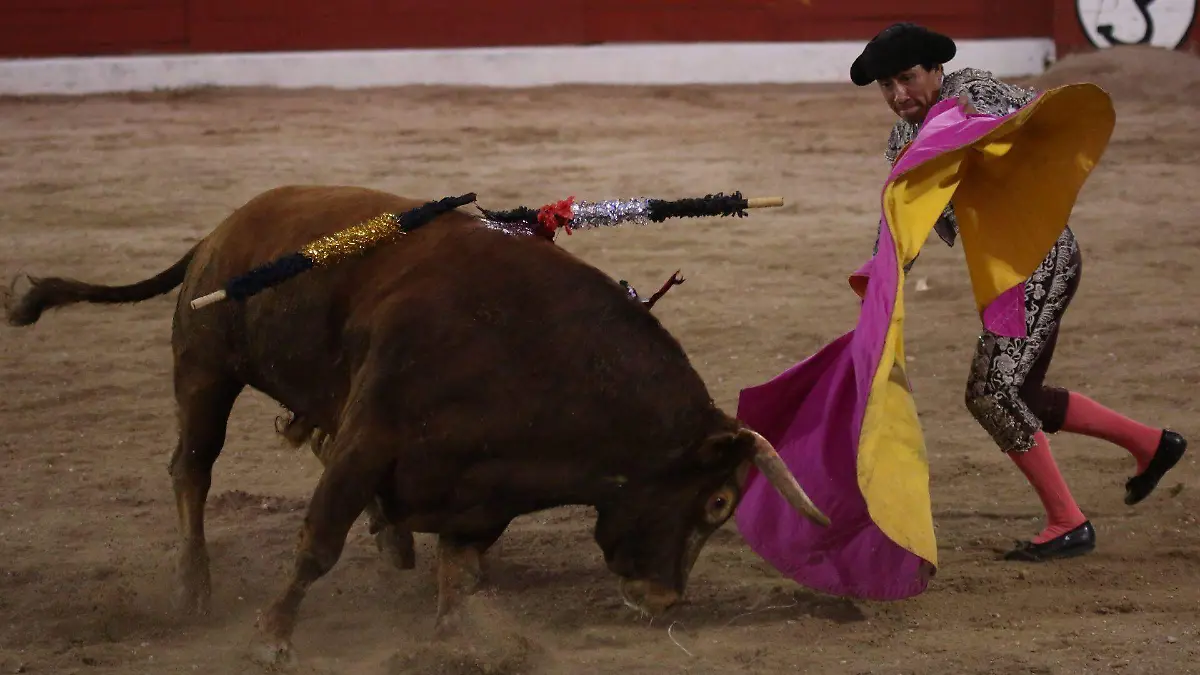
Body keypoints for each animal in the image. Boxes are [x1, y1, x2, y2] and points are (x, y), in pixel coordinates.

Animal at [2, 182, 825, 662]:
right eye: (717, 500)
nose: (665, 600)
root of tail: (219, 232)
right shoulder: (371, 440)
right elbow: (316, 544)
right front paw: (271, 636)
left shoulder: (481, 490)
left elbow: (458, 571)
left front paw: (465, 641)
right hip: (206, 369)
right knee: (192, 469)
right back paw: (194, 587)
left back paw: (387, 542)